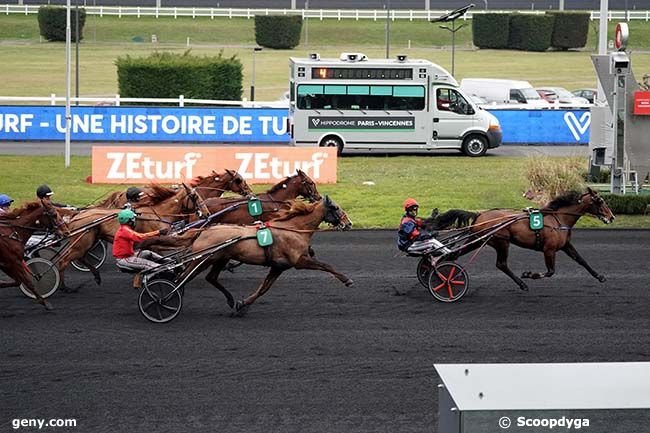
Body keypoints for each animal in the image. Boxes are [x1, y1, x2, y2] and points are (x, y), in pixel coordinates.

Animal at [150, 195, 352, 314]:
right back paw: (164, 299)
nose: (349, 223)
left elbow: (263, 288)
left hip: (219, 258)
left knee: (210, 278)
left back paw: (230, 300)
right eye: (335, 207)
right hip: (203, 259)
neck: (292, 228)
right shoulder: (299, 261)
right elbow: (325, 265)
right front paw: (346, 279)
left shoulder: (278, 266)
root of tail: (204, 230)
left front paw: (243, 304)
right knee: (181, 277)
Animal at [464, 188, 612, 290]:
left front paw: (599, 276)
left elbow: (581, 260)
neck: (559, 219)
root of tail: (479, 215)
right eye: (600, 201)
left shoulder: (566, 245)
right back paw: (522, 284)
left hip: (479, 240)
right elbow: (550, 271)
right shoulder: (549, 249)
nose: (611, 217)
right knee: (501, 264)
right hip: (502, 242)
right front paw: (529, 274)